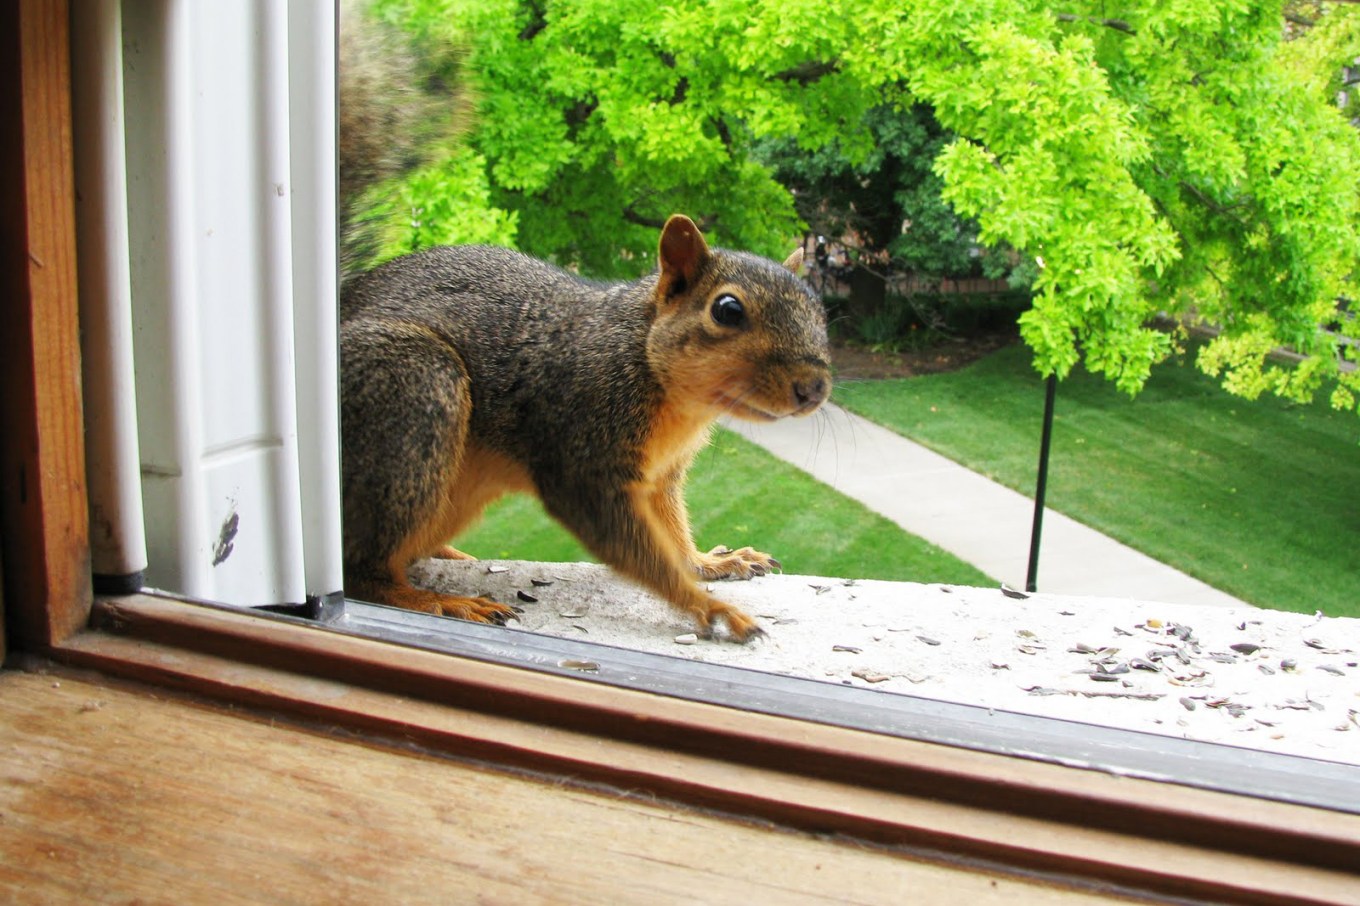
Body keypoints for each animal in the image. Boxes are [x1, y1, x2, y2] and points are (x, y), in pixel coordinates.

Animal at [338, 214, 826, 639]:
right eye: (727, 310)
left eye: (819, 309)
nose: (816, 387)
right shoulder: (582, 451)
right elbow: (630, 544)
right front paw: (709, 606)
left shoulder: (662, 474)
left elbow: (671, 532)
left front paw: (708, 562)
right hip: (416, 387)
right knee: (364, 573)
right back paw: (437, 599)